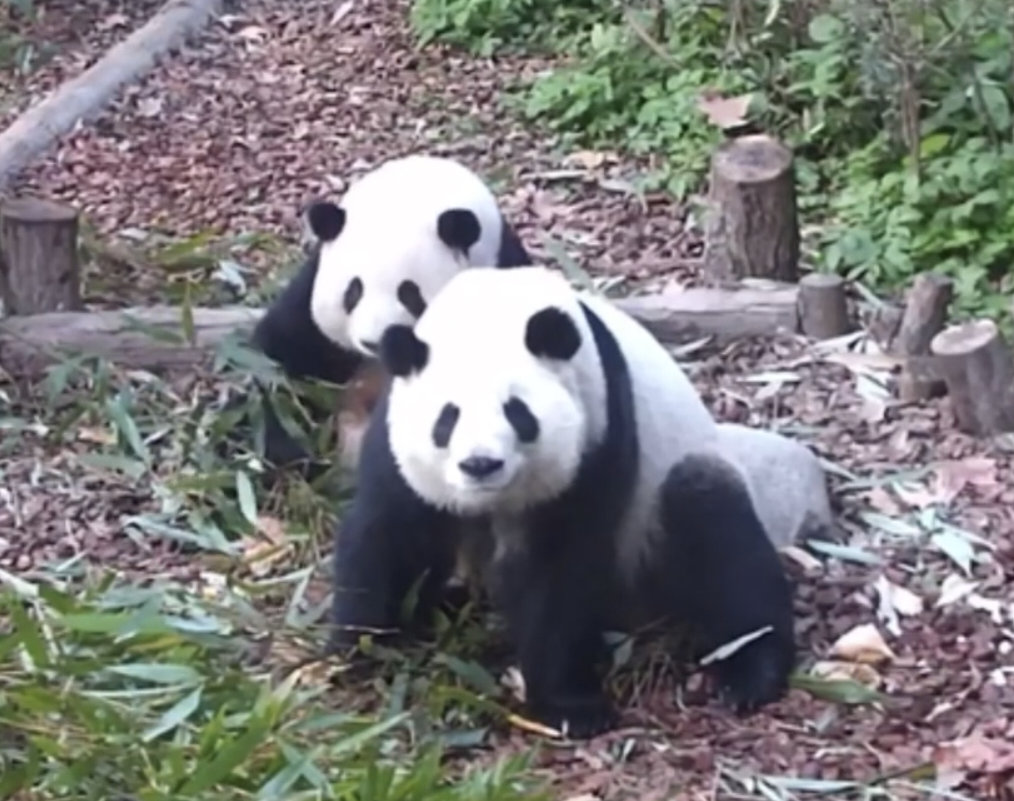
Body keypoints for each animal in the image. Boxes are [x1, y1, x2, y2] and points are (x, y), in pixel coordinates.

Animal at [332, 265, 799, 742]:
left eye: (517, 412)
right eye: (447, 417)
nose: (481, 464)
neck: (494, 310)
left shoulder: (598, 430)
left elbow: (562, 570)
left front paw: (571, 705)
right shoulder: (396, 441)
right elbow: (389, 530)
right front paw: (362, 643)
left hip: (663, 502)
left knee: (718, 535)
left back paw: (749, 675)